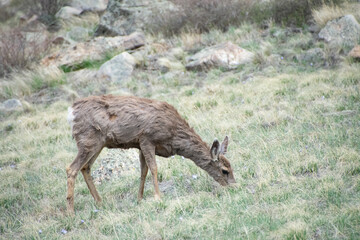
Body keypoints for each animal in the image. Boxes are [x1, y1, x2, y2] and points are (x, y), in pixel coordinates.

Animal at [66, 94, 236, 213]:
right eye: (224, 170)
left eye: (231, 167)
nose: (234, 186)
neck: (173, 134)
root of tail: (71, 112)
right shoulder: (147, 138)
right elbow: (154, 168)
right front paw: (158, 197)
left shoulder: (140, 145)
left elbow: (144, 171)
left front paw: (140, 199)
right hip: (88, 139)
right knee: (71, 168)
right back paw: (71, 212)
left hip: (98, 143)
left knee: (85, 167)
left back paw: (100, 201)